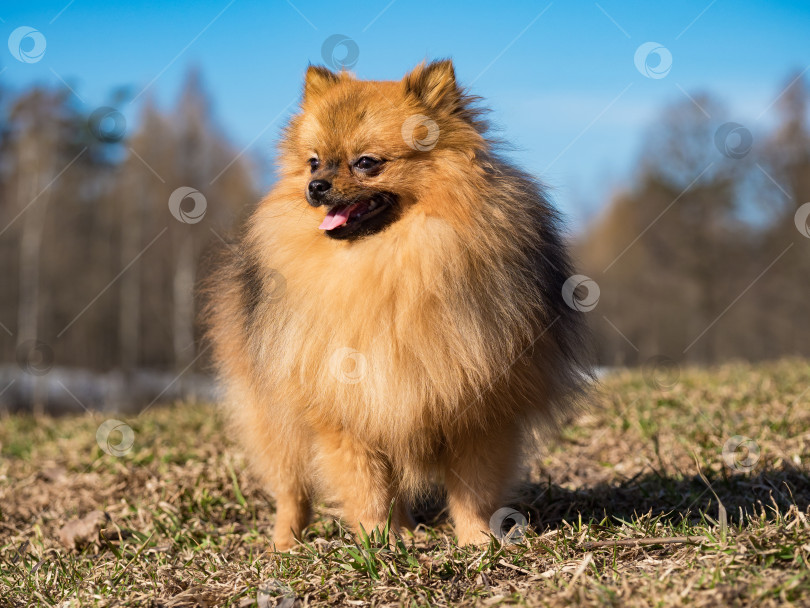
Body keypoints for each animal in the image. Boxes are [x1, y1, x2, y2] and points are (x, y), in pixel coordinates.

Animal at [204, 59, 588, 548]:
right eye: (314, 161)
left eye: (366, 163)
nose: (315, 186)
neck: (388, 259)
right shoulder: (345, 414)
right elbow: (365, 487)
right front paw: (376, 541)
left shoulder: (479, 413)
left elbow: (473, 490)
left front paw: (478, 541)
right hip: (276, 418)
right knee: (292, 489)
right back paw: (286, 543)